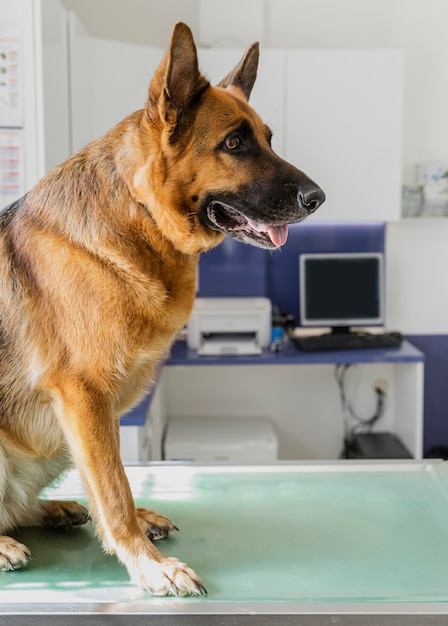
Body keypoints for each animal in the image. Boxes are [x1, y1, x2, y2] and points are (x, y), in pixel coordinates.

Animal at [0, 22, 324, 592]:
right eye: (234, 143)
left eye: (268, 140)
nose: (320, 197)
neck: (139, 214)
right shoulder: (84, 396)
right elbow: (113, 487)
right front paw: (148, 564)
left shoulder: (94, 414)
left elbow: (111, 479)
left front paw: (134, 530)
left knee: (21, 504)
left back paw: (54, 509)